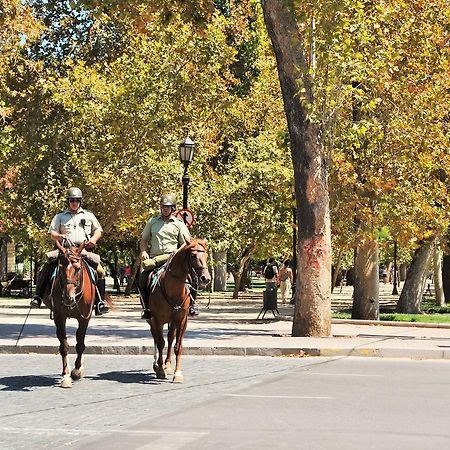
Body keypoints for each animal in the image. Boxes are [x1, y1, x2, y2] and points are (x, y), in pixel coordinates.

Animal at [42, 241, 97, 388]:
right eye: (60, 269)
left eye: (77, 269)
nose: (68, 298)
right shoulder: (59, 317)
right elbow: (64, 346)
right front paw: (65, 375)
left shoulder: (84, 318)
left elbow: (80, 344)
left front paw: (77, 370)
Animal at [147, 239, 212, 384]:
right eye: (193, 256)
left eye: (206, 255)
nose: (206, 278)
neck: (174, 289)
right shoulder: (158, 319)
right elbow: (160, 343)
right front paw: (160, 370)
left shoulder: (182, 320)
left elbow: (178, 346)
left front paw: (177, 373)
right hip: (151, 320)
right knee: (156, 338)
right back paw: (157, 365)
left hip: (174, 321)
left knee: (170, 338)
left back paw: (167, 364)